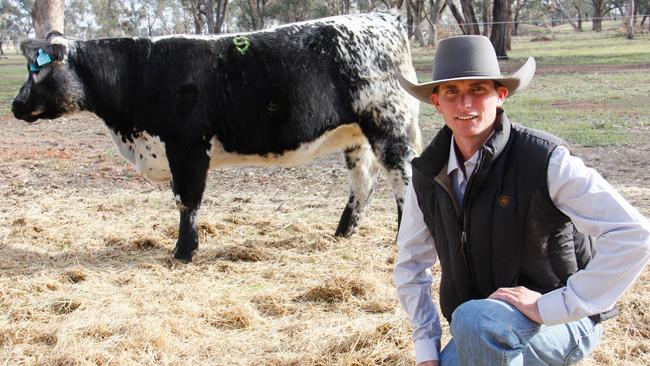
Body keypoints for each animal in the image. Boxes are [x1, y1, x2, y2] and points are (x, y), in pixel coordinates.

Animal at [13, 12, 426, 262]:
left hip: (389, 126)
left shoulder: (188, 147)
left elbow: (187, 201)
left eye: (37, 72)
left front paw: (183, 253)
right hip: (357, 136)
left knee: (404, 179)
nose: (16, 106)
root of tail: (383, 17)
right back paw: (341, 235)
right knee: (363, 182)